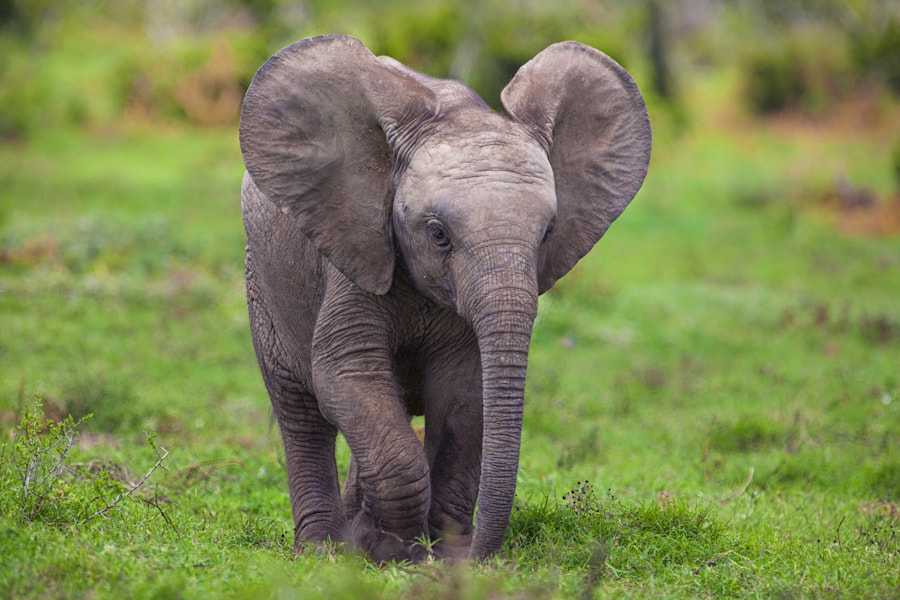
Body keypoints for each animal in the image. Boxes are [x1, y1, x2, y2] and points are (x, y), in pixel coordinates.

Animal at [238, 34, 650, 562]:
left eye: (547, 234)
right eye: (438, 235)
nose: (474, 553)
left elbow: (463, 393)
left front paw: (433, 551)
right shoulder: (356, 253)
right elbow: (347, 373)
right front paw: (390, 549)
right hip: (262, 278)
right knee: (301, 410)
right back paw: (322, 548)